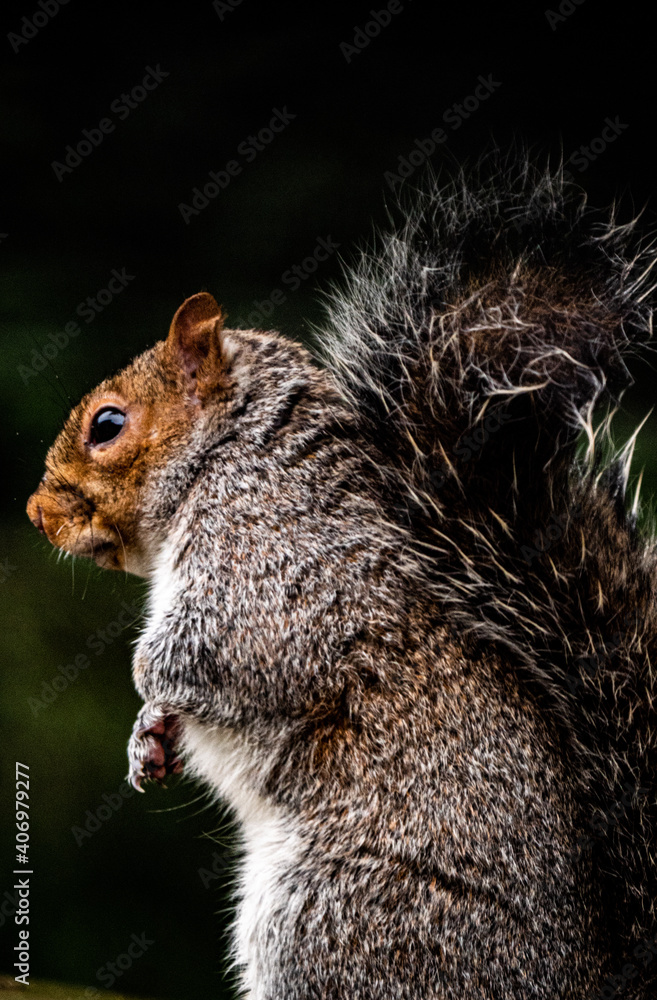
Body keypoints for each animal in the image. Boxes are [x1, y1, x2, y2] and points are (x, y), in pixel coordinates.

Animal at [27, 153, 657, 999]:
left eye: (107, 425)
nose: (35, 513)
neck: (232, 454)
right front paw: (147, 740)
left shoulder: (266, 566)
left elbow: (211, 655)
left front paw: (148, 691)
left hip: (332, 916)